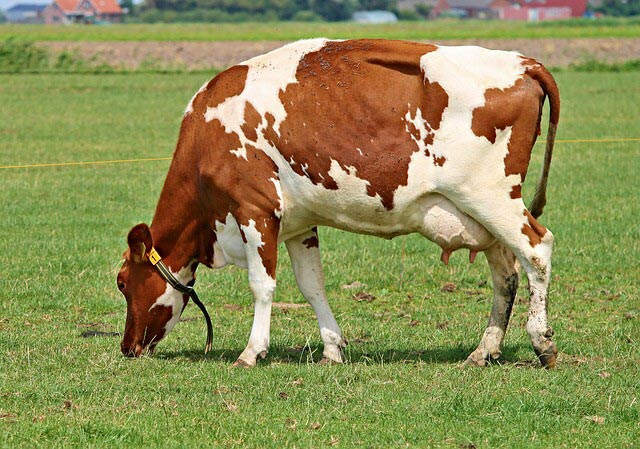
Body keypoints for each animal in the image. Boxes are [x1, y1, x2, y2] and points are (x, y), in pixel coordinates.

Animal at [117, 39, 560, 368]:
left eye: (122, 282)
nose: (127, 347)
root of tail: (524, 62)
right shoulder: (299, 224)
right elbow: (312, 285)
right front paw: (332, 349)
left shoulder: (255, 212)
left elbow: (262, 285)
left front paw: (251, 352)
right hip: (482, 218)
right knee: (506, 276)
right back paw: (483, 350)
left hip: (492, 199)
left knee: (537, 250)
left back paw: (542, 343)